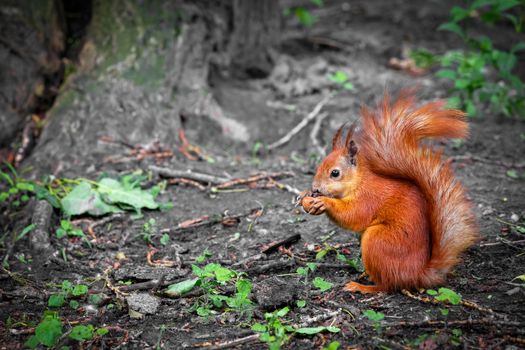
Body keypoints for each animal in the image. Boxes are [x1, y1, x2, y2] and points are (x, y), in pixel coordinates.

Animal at [298, 90, 478, 292]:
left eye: (335, 173)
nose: (315, 188)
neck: (359, 182)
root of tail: (417, 274)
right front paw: (304, 196)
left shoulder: (369, 198)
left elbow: (353, 215)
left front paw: (324, 202)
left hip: (377, 240)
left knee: (387, 286)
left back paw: (363, 287)